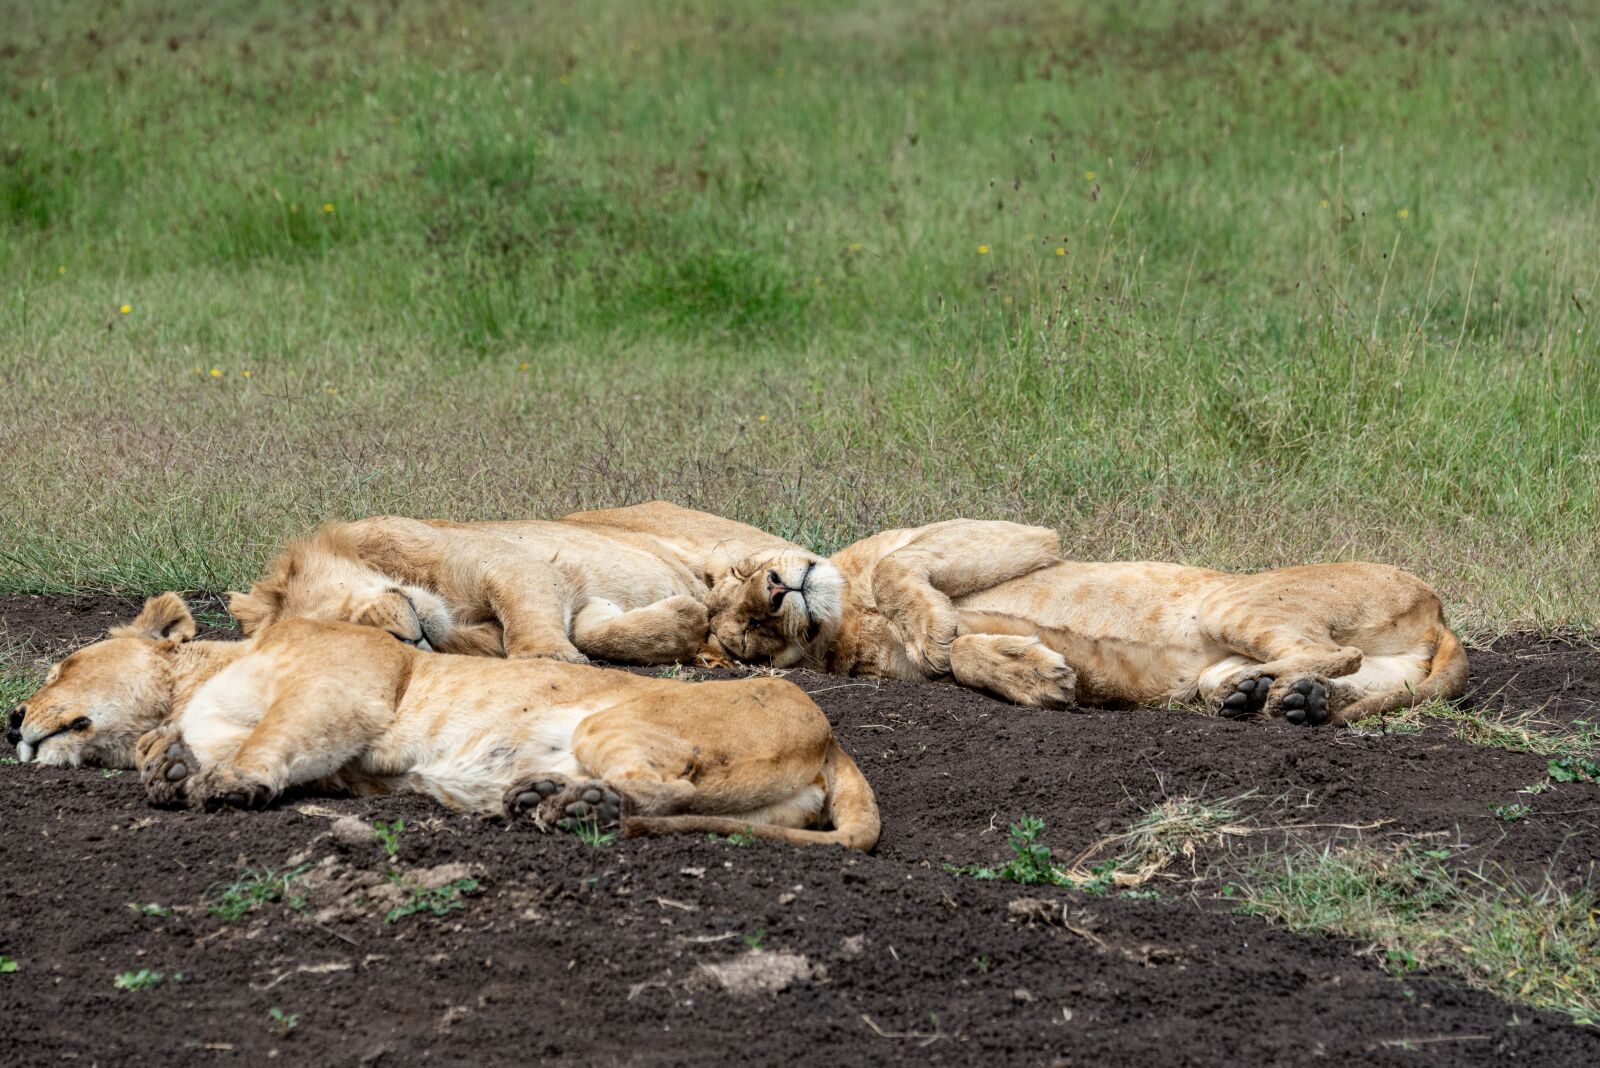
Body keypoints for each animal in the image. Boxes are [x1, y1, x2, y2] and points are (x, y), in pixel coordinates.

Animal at [7, 594, 879, 850]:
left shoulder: (348, 689)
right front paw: (169, 763)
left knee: (658, 793)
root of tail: (833, 738)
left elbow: (273, 736)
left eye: (61, 665)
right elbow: (207, 739)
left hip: (617, 724)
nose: (11, 715)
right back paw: (535, 797)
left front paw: (224, 779)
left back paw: (567, 805)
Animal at [228, 501, 798, 665]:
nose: (400, 638)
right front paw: (685, 619)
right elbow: (597, 631)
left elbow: (527, 612)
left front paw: (545, 657)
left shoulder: (510, 562)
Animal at [701, 520, 1469, 727]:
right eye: (749, 638)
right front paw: (1037, 676)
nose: (776, 590)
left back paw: (1264, 692)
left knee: (1330, 654)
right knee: (1346, 673)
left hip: (1234, 604)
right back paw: (1271, 698)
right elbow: (965, 657)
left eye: (741, 570)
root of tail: (1438, 611)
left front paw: (936, 628)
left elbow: (901, 572)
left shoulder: (1016, 534)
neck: (846, 619)